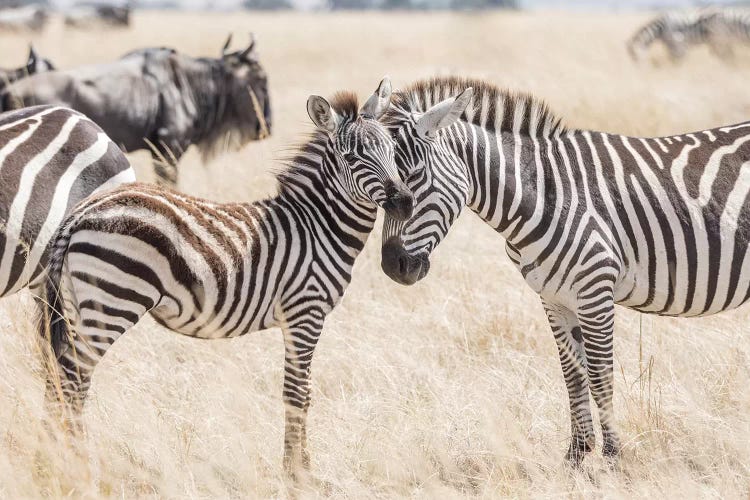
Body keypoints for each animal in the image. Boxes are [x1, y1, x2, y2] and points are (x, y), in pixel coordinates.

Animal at [38, 80, 414, 482]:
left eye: (392, 150)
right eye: (351, 157)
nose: (405, 202)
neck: (318, 226)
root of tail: (82, 212)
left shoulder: (297, 320)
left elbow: (300, 392)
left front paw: (300, 467)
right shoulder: (305, 314)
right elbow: (298, 394)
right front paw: (297, 474)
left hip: (77, 303)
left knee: (60, 376)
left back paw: (59, 455)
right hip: (112, 300)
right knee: (73, 378)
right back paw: (78, 463)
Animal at [368, 76, 750, 466]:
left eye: (414, 176)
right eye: (380, 187)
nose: (392, 266)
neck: (543, 197)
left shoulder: (595, 291)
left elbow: (599, 375)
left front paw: (612, 459)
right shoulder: (553, 298)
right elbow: (572, 374)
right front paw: (577, 457)